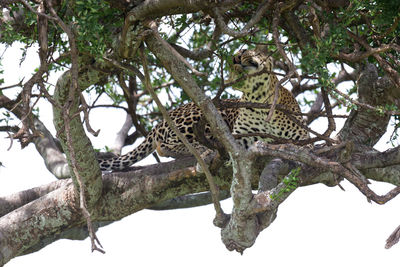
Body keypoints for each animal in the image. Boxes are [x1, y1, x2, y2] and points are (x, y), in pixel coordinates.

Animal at [99, 46, 310, 172]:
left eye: (245, 50)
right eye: (235, 56)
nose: (236, 57)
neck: (257, 97)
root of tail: (159, 123)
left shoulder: (301, 137)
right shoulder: (240, 138)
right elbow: (230, 147)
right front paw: (210, 153)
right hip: (202, 116)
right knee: (165, 146)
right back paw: (204, 148)